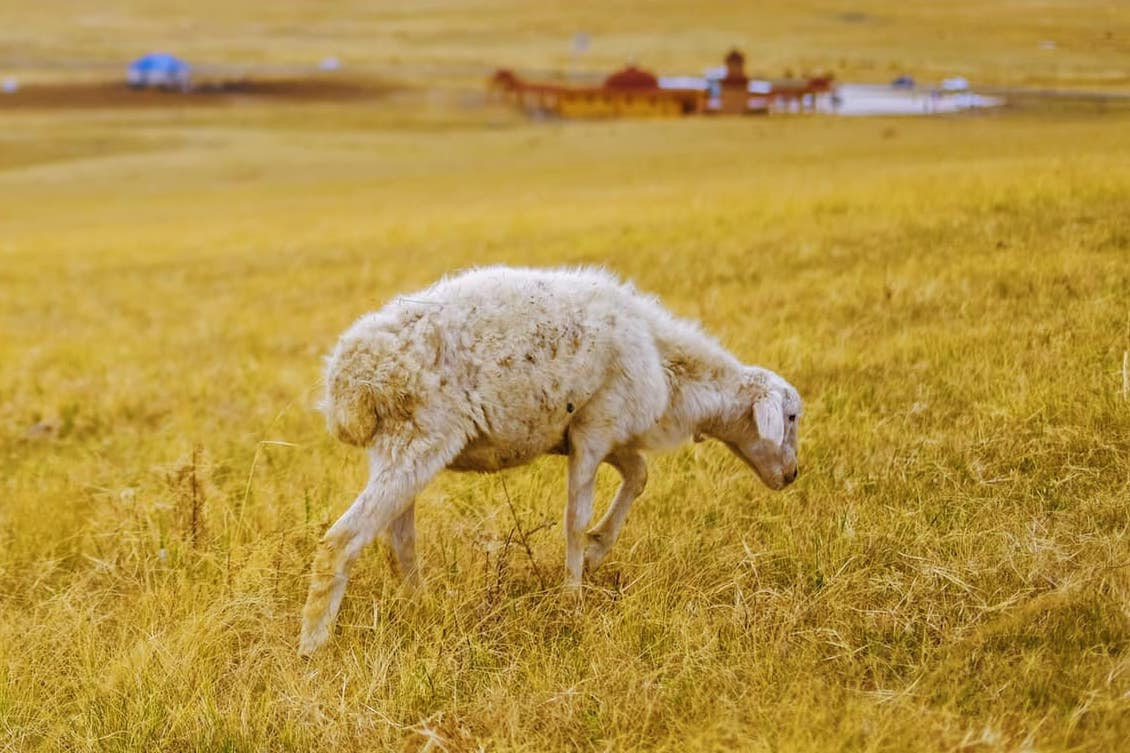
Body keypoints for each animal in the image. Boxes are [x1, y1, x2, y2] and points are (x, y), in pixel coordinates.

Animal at [296, 266, 800, 655]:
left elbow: (638, 475)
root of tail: (349, 383)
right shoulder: (596, 426)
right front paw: (573, 598)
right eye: (791, 417)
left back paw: (420, 606)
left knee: (398, 540)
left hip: (396, 448)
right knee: (342, 540)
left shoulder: (593, 431)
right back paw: (313, 646)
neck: (669, 365)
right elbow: (575, 519)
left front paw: (597, 551)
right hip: (422, 439)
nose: (793, 475)